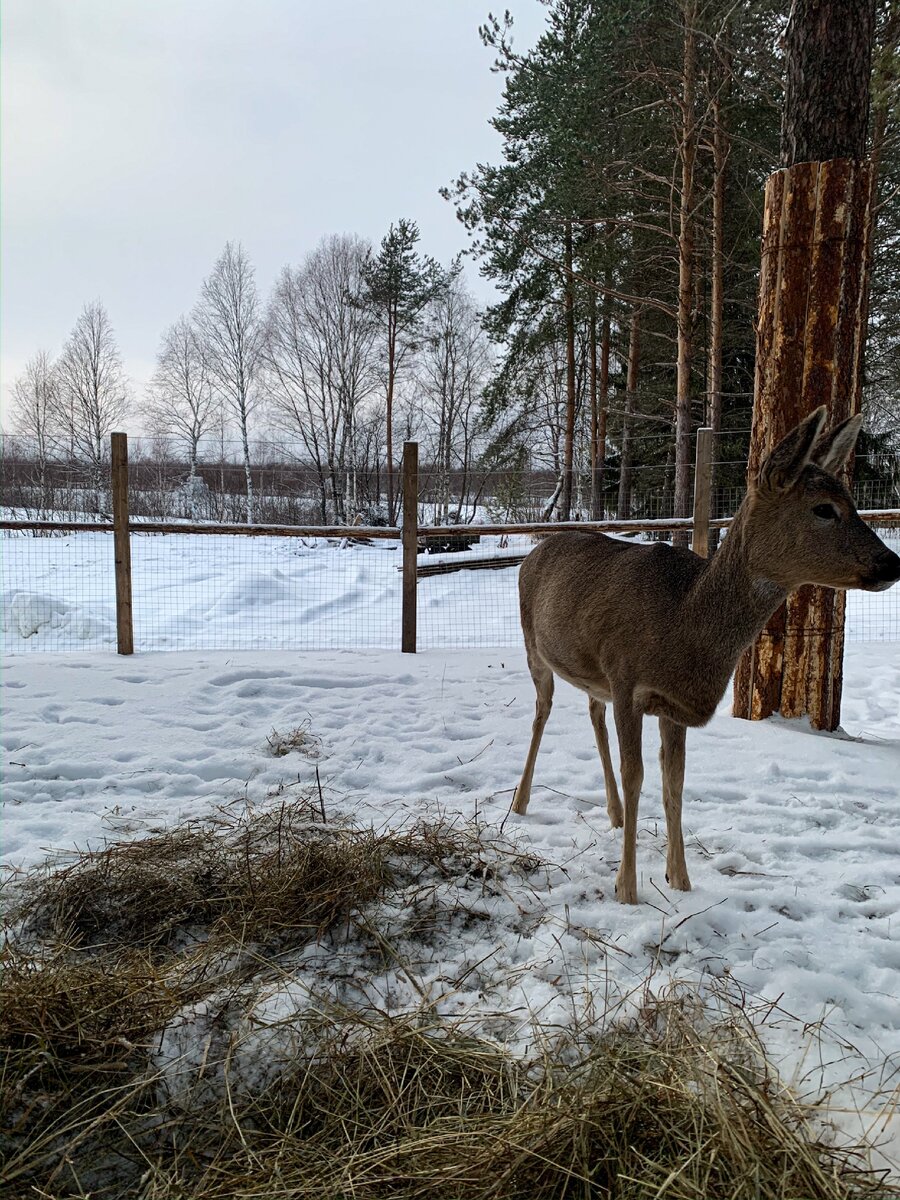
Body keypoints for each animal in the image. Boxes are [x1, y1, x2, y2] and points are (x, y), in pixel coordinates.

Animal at [511, 407, 900, 904]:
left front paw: (680, 879)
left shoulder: (668, 702)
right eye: (824, 509)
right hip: (533, 647)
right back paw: (520, 801)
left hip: (590, 672)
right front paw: (627, 887)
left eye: (852, 500)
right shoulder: (627, 679)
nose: (893, 562)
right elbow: (638, 775)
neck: (684, 625)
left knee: (592, 710)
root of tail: (534, 550)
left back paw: (612, 812)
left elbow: (674, 782)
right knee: (542, 710)